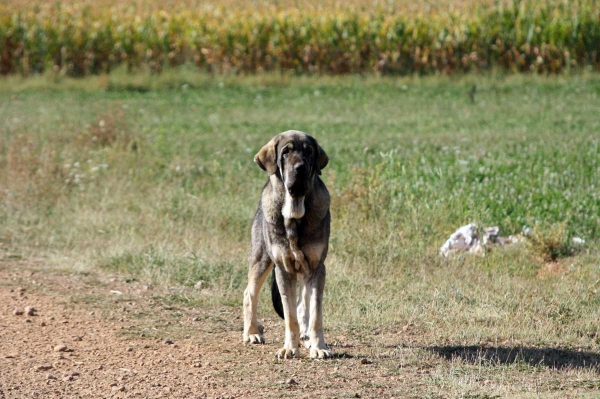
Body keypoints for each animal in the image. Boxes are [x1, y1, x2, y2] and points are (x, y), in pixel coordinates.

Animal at [243, 130, 332, 360]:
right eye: (286, 152)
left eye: (308, 151)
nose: (300, 168)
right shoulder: (284, 269)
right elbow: (290, 315)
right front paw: (289, 348)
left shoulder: (316, 268)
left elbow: (315, 312)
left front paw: (318, 347)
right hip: (261, 260)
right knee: (249, 293)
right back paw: (252, 332)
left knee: (304, 304)